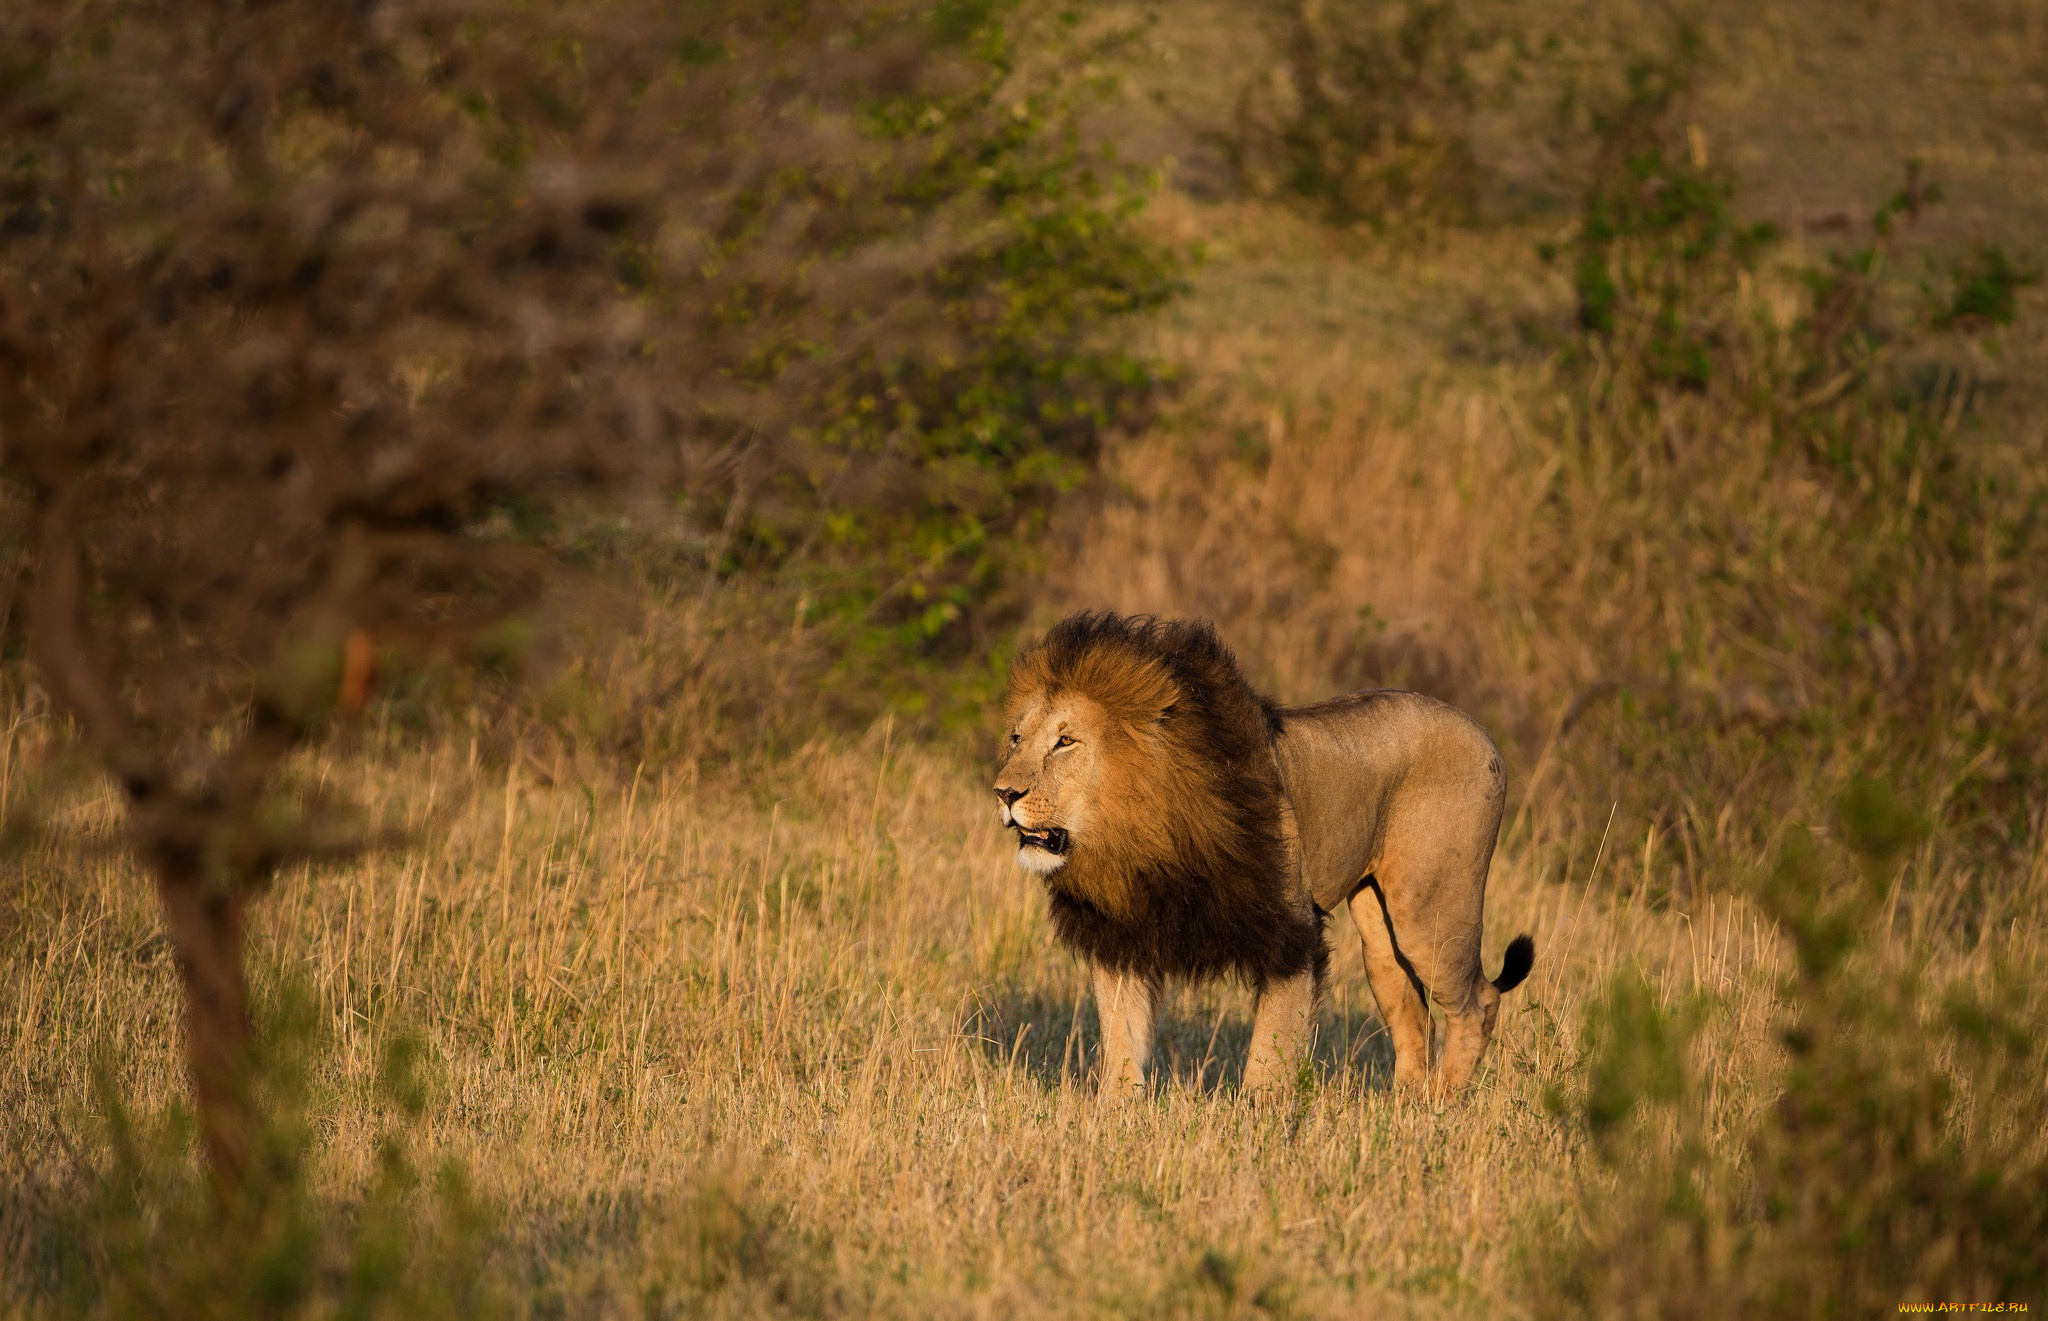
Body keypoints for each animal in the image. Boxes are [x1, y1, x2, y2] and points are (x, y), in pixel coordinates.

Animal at [991, 614, 1540, 1097]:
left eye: (1065, 741)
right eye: (1017, 738)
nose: (1003, 793)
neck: (1140, 839)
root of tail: (1483, 733)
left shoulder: (1291, 934)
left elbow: (1271, 1051)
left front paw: (1261, 1120)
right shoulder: (1123, 938)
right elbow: (1122, 1042)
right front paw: (1114, 1115)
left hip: (1429, 912)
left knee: (1479, 1003)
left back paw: (1440, 1103)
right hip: (1379, 931)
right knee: (1413, 1012)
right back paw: (1402, 1107)